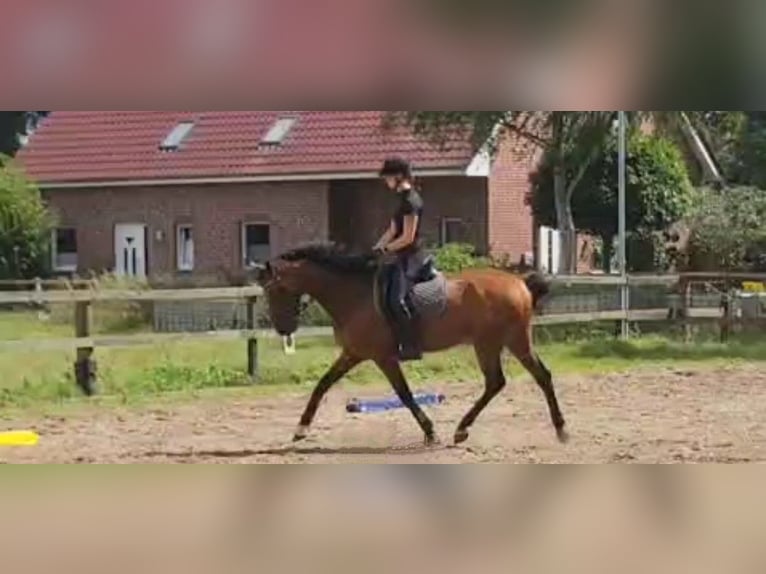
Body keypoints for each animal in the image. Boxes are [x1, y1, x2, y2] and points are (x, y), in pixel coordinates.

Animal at [253, 243, 568, 447]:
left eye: (276, 289)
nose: (283, 328)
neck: (355, 294)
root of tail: (520, 282)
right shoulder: (353, 353)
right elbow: (322, 384)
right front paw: (301, 428)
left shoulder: (383, 357)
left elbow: (403, 394)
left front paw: (430, 433)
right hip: (499, 342)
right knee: (513, 380)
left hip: (502, 341)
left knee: (518, 379)